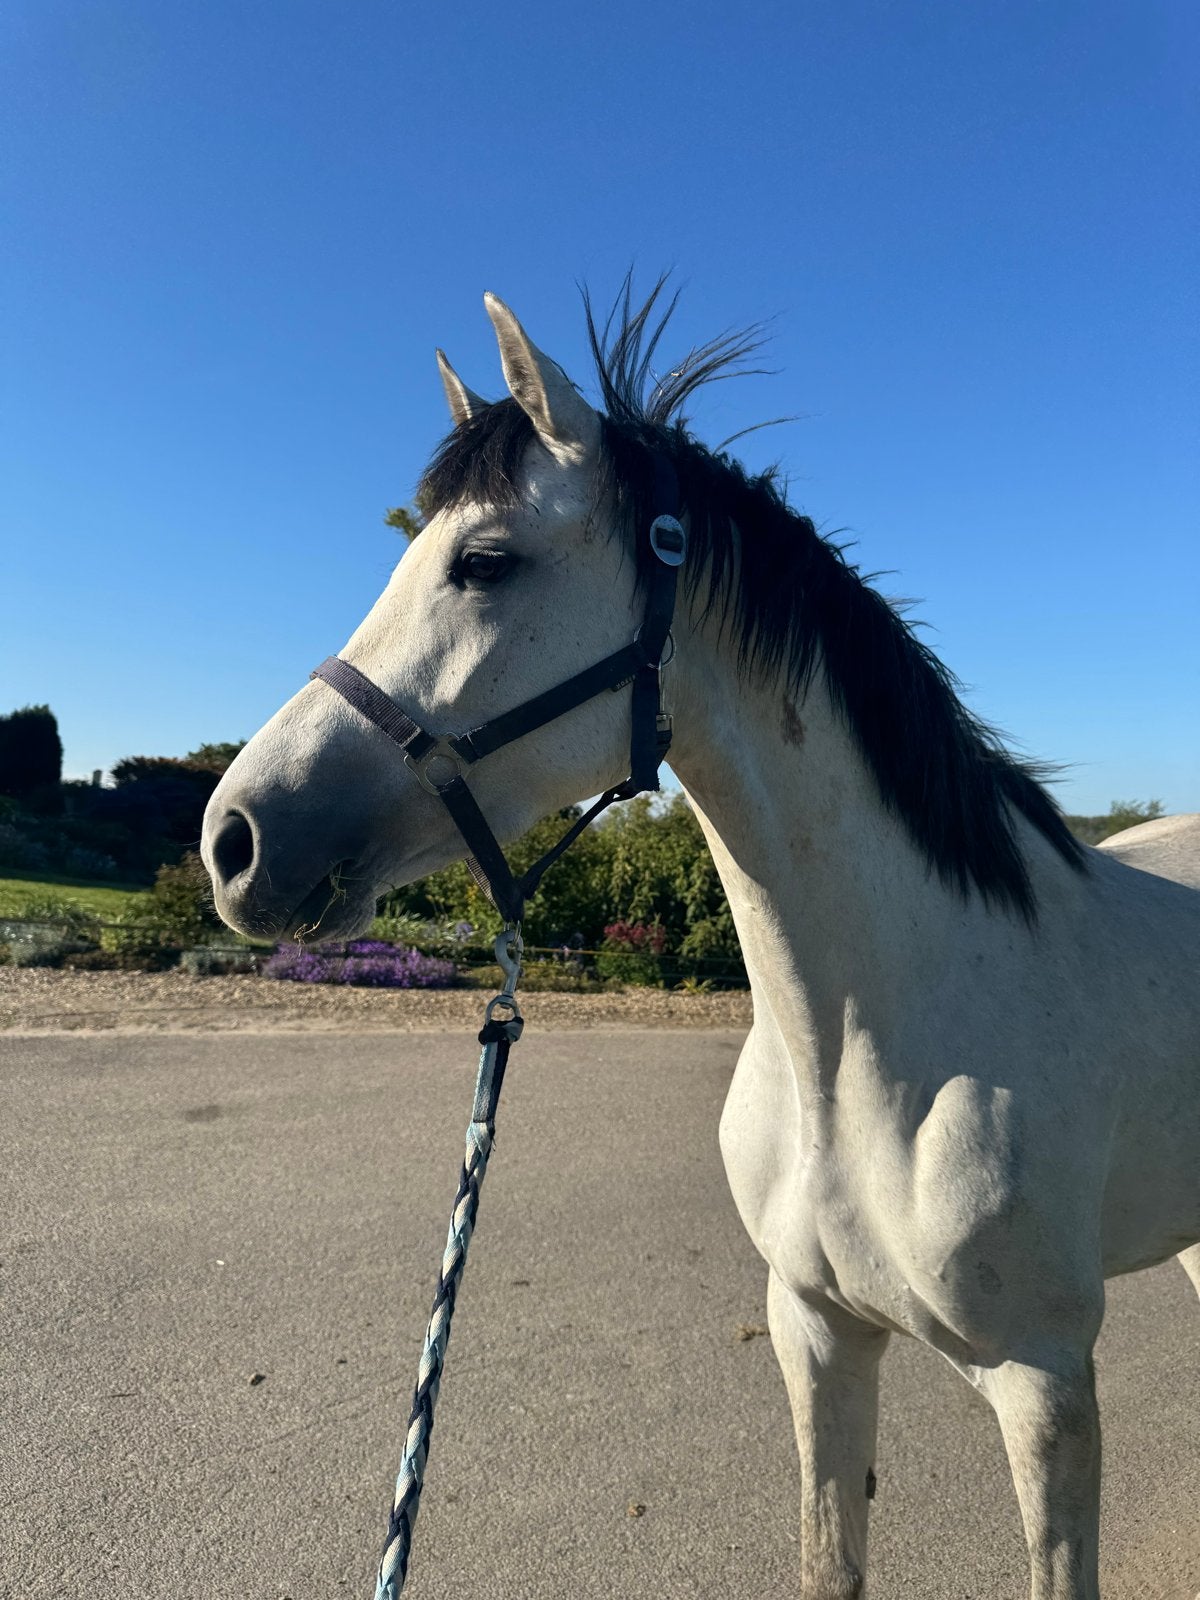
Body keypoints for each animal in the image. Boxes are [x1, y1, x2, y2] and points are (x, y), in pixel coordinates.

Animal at [200, 285, 1199, 1599]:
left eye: (484, 561)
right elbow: (828, 1557)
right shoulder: (817, 1332)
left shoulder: (1046, 1388)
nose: (234, 839)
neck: (871, 1046)